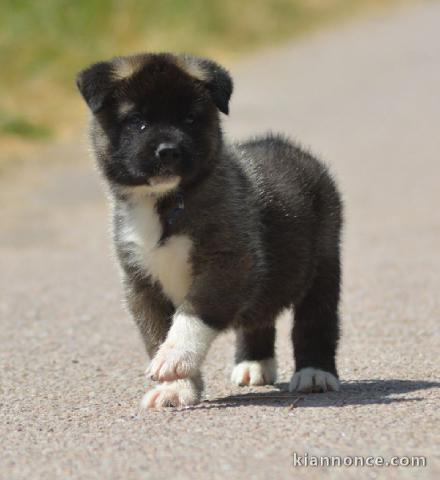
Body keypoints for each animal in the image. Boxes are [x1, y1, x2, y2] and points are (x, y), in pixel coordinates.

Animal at [77, 54, 342, 408]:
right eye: (137, 121)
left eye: (190, 118)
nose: (168, 151)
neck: (165, 202)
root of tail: (286, 146)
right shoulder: (141, 282)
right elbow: (157, 333)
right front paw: (176, 388)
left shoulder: (227, 264)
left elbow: (191, 315)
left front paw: (175, 358)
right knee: (260, 315)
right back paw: (254, 363)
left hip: (324, 263)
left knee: (316, 320)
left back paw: (316, 373)